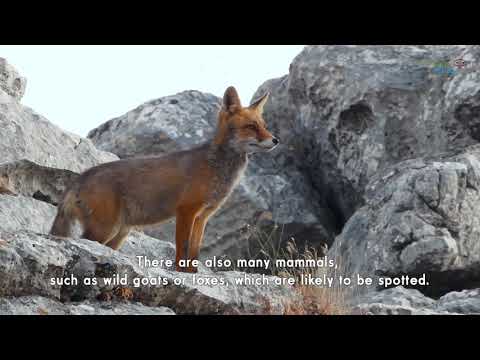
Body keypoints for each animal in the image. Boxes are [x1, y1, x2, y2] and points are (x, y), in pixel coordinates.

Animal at [49, 86, 278, 272]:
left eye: (264, 125)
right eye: (251, 126)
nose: (276, 140)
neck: (217, 169)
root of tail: (79, 178)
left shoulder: (203, 217)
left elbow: (194, 253)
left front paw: (192, 276)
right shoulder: (186, 211)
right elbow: (182, 250)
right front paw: (180, 274)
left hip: (119, 234)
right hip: (104, 230)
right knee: (82, 244)